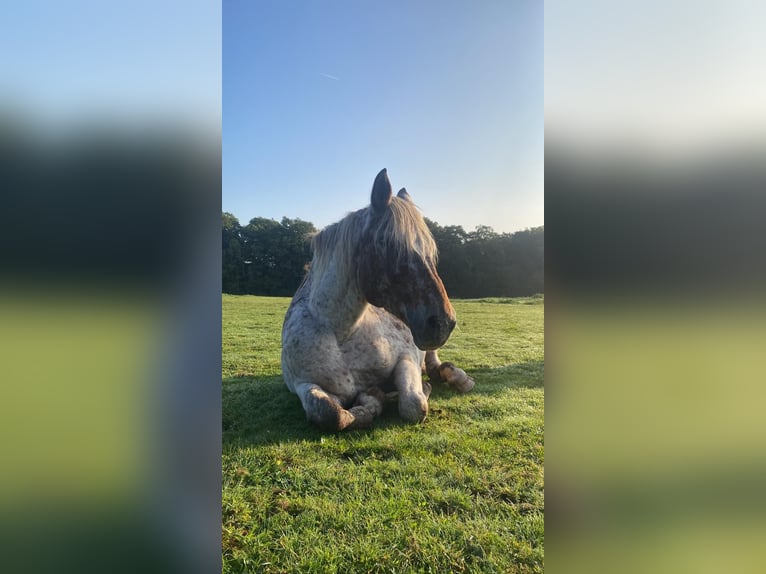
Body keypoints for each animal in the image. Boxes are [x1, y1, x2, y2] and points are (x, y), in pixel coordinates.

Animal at [281, 168, 474, 431]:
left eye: (430, 251)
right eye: (388, 244)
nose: (444, 323)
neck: (341, 332)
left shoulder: (406, 357)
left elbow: (415, 404)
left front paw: (417, 390)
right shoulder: (302, 384)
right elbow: (329, 413)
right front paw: (371, 400)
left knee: (435, 366)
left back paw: (458, 377)